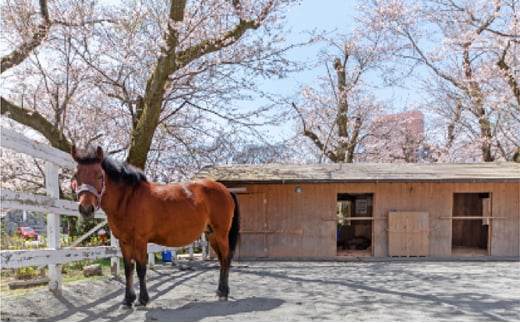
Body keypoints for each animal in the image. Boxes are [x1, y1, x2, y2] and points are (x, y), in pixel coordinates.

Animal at [69, 146, 240, 308]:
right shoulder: (124, 241)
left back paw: (224, 292)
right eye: (76, 175)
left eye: (99, 175)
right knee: (221, 259)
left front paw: (141, 300)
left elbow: (141, 269)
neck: (128, 200)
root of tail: (225, 190)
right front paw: (127, 301)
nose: (86, 209)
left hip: (221, 233)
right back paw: (219, 291)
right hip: (211, 234)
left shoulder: (140, 240)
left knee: (226, 258)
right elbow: (128, 269)